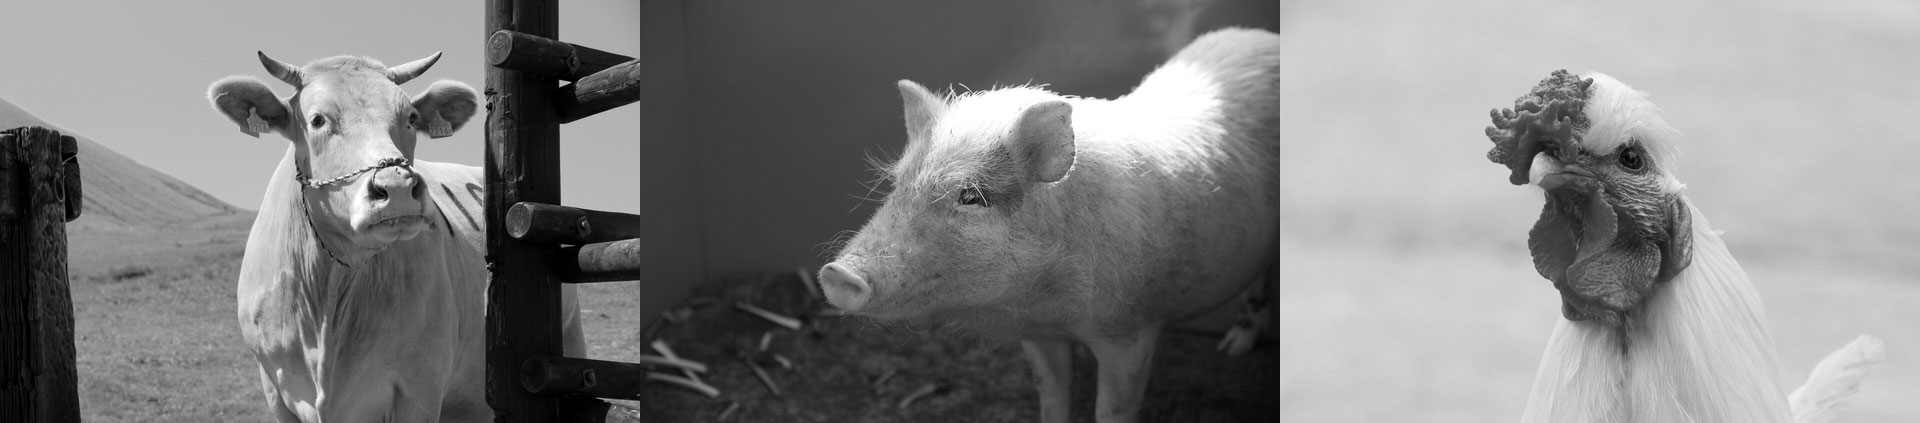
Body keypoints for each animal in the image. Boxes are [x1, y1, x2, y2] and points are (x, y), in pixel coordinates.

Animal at [810, 27, 1274, 423]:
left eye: (971, 196)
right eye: (899, 182)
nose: (836, 274)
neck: (1055, 304)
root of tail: (1265, 38)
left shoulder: (1133, 327)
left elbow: (1114, 409)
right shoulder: (1039, 335)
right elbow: (1051, 394)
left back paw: (1232, 349)